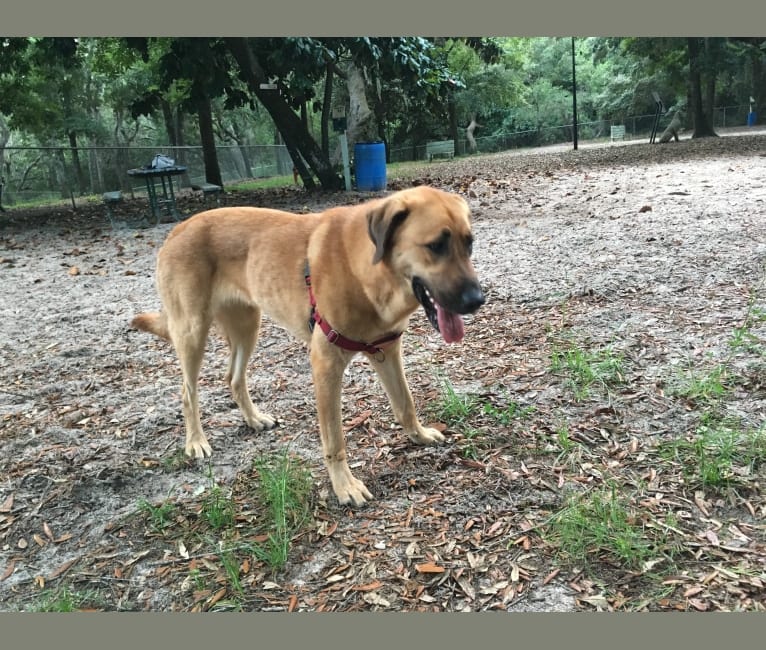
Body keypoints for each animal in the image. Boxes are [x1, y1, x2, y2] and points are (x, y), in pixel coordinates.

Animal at [129, 185, 484, 504]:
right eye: (435, 246)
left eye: (469, 243)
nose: (477, 300)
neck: (365, 270)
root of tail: (177, 230)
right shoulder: (326, 365)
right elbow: (335, 440)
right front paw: (345, 486)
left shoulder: (386, 351)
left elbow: (405, 404)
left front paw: (419, 435)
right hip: (192, 332)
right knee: (187, 392)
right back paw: (196, 441)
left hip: (248, 326)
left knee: (234, 378)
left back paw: (253, 418)